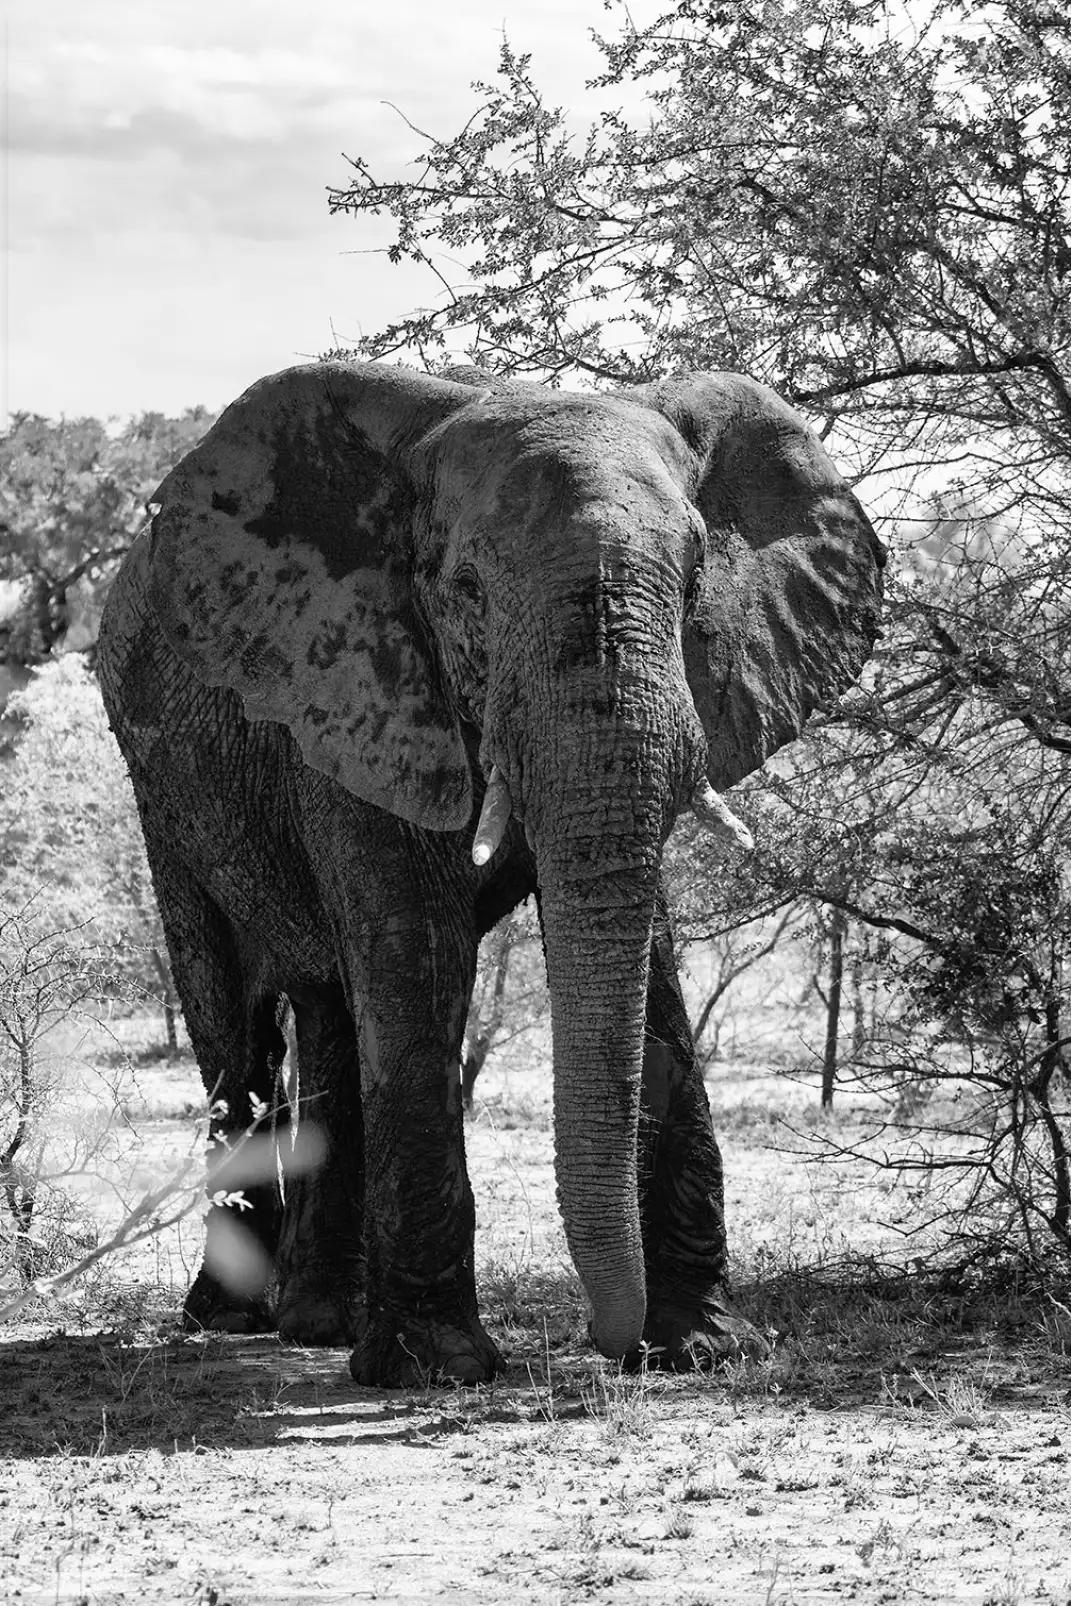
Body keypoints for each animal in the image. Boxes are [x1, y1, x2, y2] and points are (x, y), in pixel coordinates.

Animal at [96, 360, 883, 1386]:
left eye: (694, 577)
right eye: (466, 588)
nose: (610, 1344)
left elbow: (642, 941)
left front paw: (706, 1346)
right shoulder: (351, 681)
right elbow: (416, 941)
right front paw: (436, 1368)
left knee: (330, 1011)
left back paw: (320, 1324)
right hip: (163, 785)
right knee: (237, 1025)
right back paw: (233, 1317)